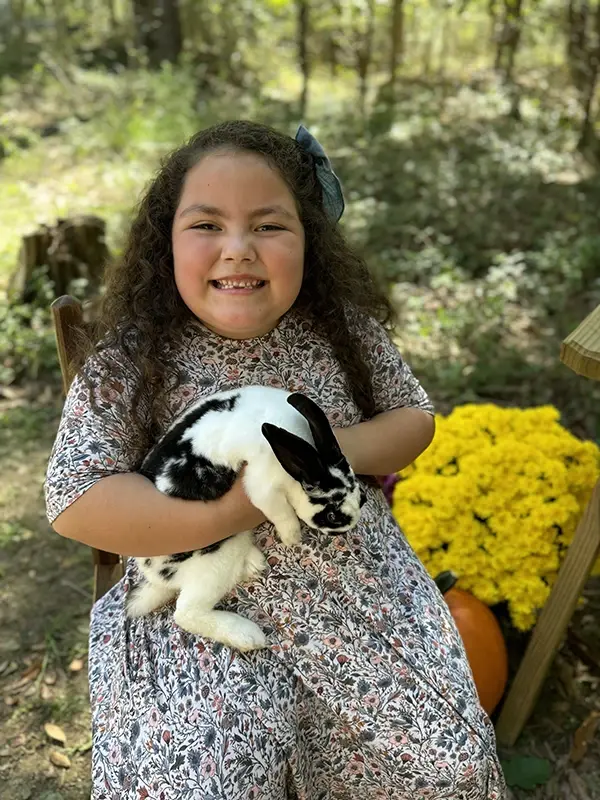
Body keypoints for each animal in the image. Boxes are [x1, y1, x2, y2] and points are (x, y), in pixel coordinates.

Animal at [125, 386, 366, 648]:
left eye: (362, 498)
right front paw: (292, 537)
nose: (348, 528)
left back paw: (254, 563)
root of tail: (153, 575)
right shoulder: (262, 486)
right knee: (186, 613)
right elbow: (281, 512)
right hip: (218, 559)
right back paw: (249, 637)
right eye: (332, 516)